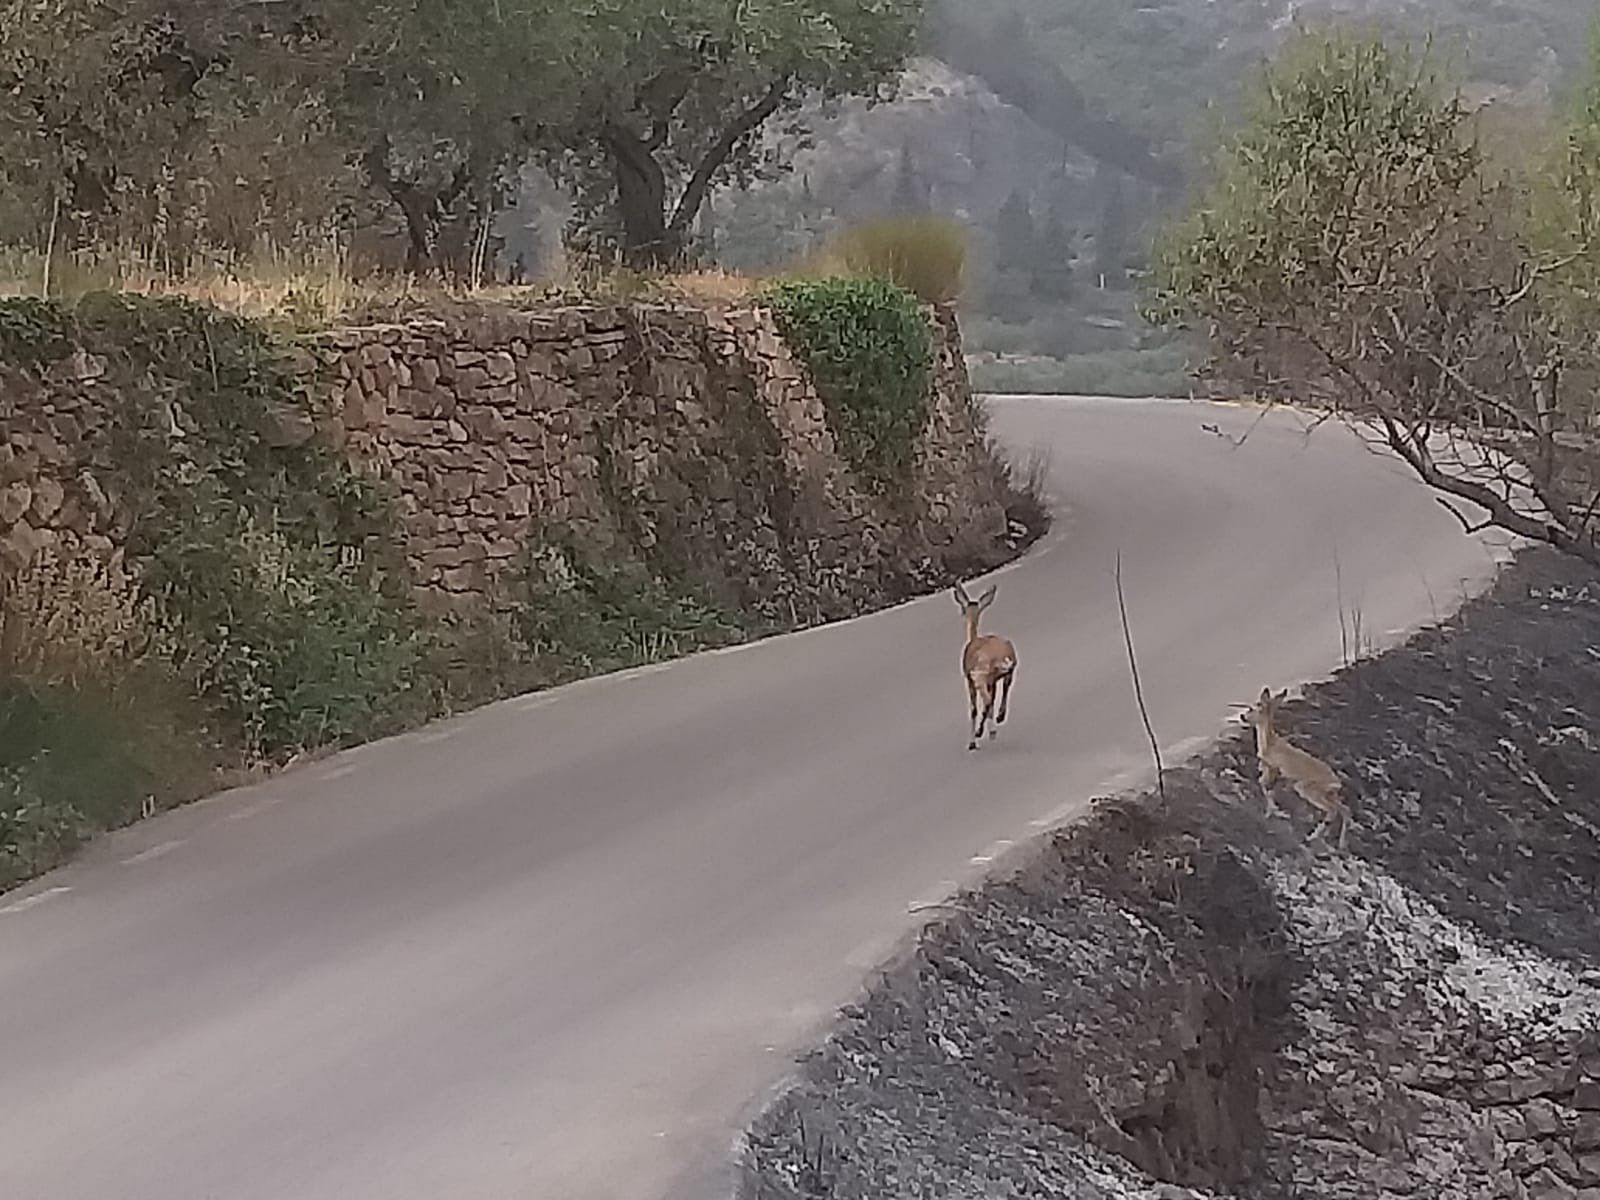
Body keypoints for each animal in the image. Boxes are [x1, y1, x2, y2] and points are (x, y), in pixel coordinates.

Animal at [947, 582, 1011, 752]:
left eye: (962, 609)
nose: (961, 614)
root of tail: (999, 656)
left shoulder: (968, 679)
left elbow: (973, 709)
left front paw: (972, 743)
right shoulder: (992, 682)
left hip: (979, 675)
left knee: (986, 701)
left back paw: (985, 732)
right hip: (1006, 670)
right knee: (1003, 690)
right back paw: (999, 718)